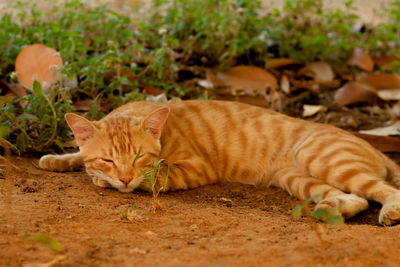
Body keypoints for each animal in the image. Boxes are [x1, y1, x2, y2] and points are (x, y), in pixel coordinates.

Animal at [39, 100, 400, 226]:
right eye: (108, 158)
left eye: (139, 156)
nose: (125, 178)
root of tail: (373, 145)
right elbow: (79, 156)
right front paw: (59, 159)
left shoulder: (192, 169)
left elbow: (153, 177)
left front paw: (105, 180)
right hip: (299, 179)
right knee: (355, 198)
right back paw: (330, 210)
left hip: (324, 160)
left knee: (381, 190)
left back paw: (390, 212)